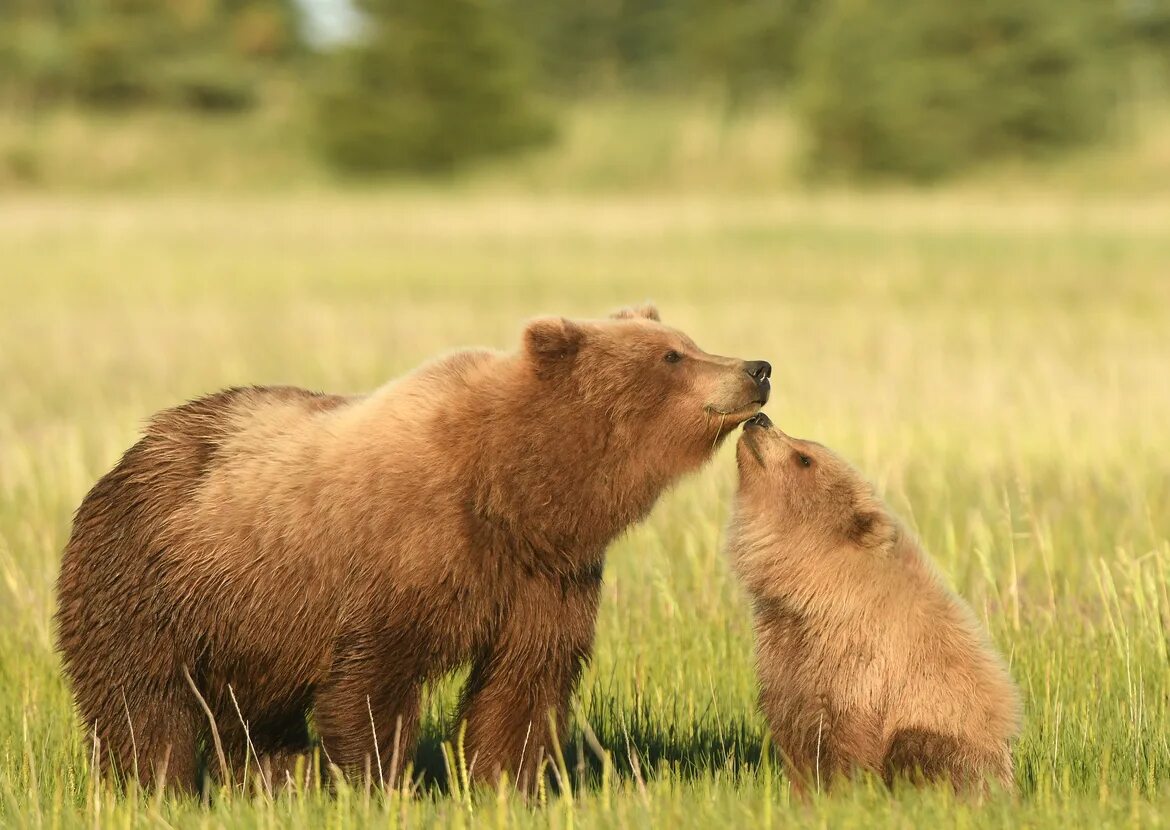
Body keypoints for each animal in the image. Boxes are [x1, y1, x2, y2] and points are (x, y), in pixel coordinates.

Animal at [54, 302, 772, 791]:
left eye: (688, 341)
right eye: (671, 357)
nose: (757, 367)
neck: (512, 491)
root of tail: (133, 451)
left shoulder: (546, 577)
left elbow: (525, 679)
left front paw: (506, 782)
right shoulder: (405, 553)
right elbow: (374, 682)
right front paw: (377, 782)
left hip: (253, 623)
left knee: (252, 716)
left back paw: (271, 780)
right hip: (152, 579)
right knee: (142, 699)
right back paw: (153, 784)